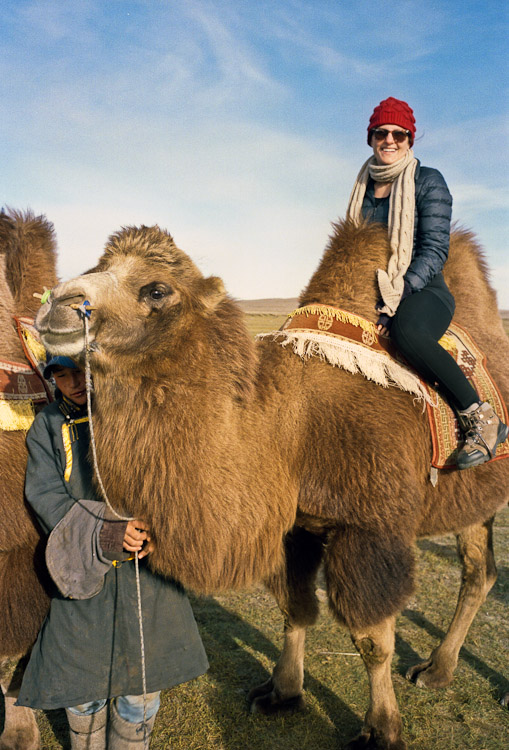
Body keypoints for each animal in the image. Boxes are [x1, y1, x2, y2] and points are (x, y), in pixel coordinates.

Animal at [35, 219, 509, 749]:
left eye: (156, 289)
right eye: (97, 267)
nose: (57, 303)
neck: (289, 427)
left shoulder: (369, 526)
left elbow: (372, 640)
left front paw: (382, 731)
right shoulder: (296, 525)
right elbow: (294, 608)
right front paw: (282, 692)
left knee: (475, 571)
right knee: (480, 571)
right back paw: (438, 670)